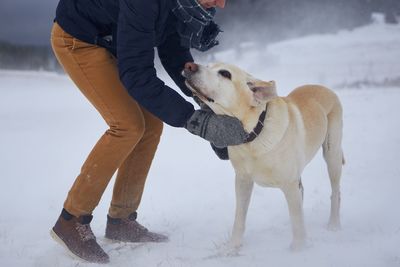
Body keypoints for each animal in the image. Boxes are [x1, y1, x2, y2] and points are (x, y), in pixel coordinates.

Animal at [184, 62, 344, 253]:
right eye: (209, 65)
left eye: (225, 73)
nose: (189, 66)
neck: (253, 136)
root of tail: (323, 87)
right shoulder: (242, 181)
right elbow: (239, 218)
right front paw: (232, 247)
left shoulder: (289, 184)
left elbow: (297, 221)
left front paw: (298, 249)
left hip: (332, 154)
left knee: (335, 192)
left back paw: (334, 225)